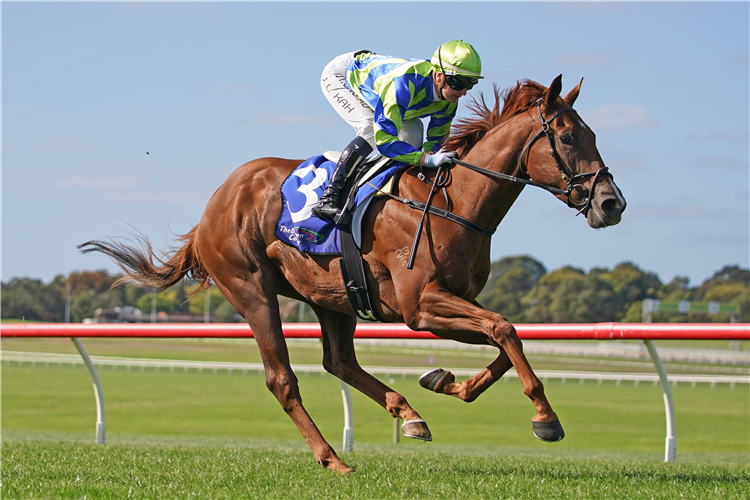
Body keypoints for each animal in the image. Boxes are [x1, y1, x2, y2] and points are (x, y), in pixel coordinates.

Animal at [79, 75, 624, 472]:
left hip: (332, 296)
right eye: (568, 136)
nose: (610, 203)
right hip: (251, 289)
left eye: (594, 134)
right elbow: (505, 329)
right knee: (282, 379)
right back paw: (333, 459)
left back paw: (409, 415)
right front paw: (546, 419)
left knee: (339, 362)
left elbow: (504, 340)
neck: (453, 204)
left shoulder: (449, 301)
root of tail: (214, 204)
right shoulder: (420, 306)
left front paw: (446, 382)